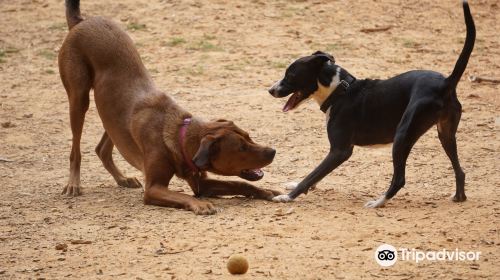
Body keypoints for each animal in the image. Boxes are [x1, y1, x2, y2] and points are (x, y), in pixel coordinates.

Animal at [57, 0, 282, 214]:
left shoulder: (202, 182)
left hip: (111, 115)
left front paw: (268, 191)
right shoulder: (153, 188)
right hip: (78, 99)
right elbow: (182, 195)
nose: (273, 151)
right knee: (75, 150)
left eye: (250, 136)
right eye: (241, 147)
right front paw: (201, 205)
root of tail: (81, 21)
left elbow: (241, 184)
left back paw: (122, 178)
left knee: (102, 148)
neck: (179, 135)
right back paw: (73, 184)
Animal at [268, 0, 474, 208]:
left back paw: (378, 202)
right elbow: (316, 176)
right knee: (461, 171)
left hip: (402, 136)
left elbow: (312, 175)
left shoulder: (340, 151)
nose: (270, 90)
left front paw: (288, 196)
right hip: (445, 134)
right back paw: (460, 196)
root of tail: (446, 82)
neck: (339, 91)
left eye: (290, 75)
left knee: (399, 179)